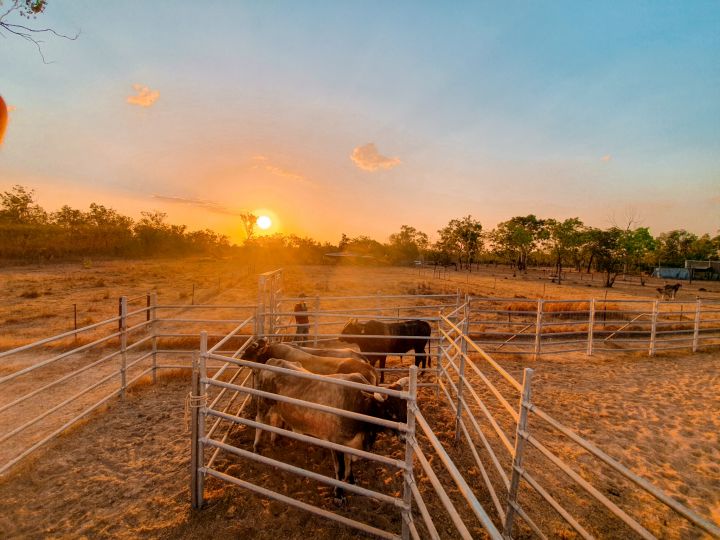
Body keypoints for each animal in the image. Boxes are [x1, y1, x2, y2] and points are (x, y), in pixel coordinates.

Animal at [255, 358, 410, 502]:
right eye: (389, 411)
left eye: (404, 408)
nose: (405, 437)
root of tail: (273, 361)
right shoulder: (336, 443)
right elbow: (340, 469)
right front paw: (338, 495)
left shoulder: (350, 444)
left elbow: (349, 463)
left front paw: (351, 480)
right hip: (263, 402)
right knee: (259, 422)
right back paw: (256, 448)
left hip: (276, 406)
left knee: (274, 420)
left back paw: (274, 442)